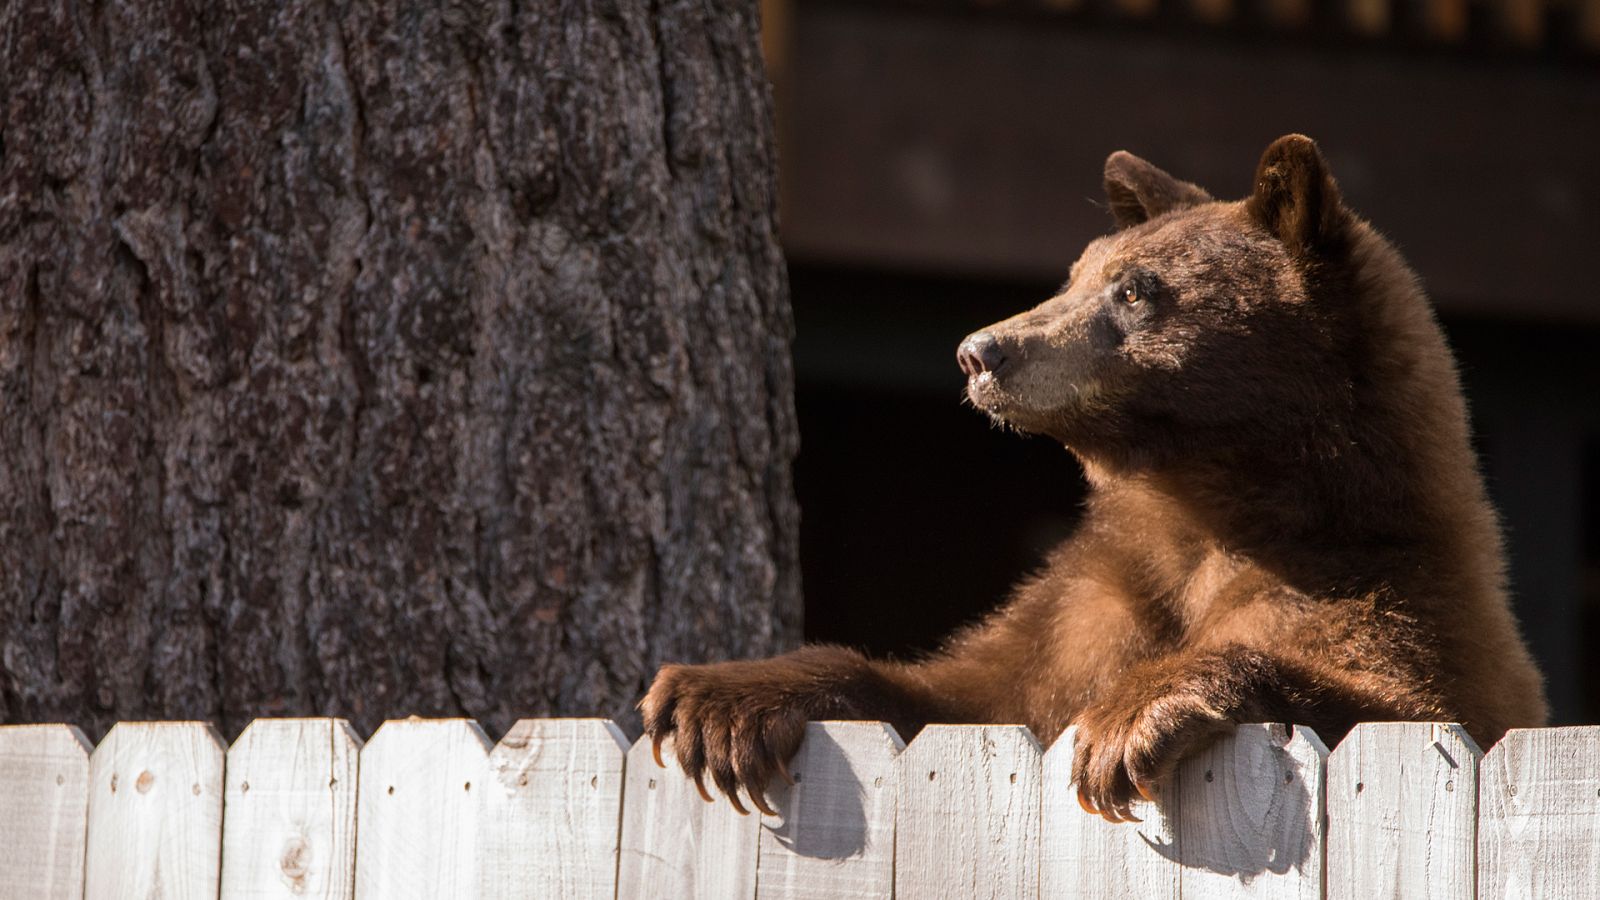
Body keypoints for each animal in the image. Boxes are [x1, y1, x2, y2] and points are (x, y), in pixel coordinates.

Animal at [636, 132, 1548, 819]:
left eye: (1136, 289)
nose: (982, 351)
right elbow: (960, 694)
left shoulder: (1381, 595)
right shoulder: (1094, 600)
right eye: (1074, 274)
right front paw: (710, 701)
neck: (1205, 507)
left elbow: (1391, 702)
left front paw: (1128, 719)